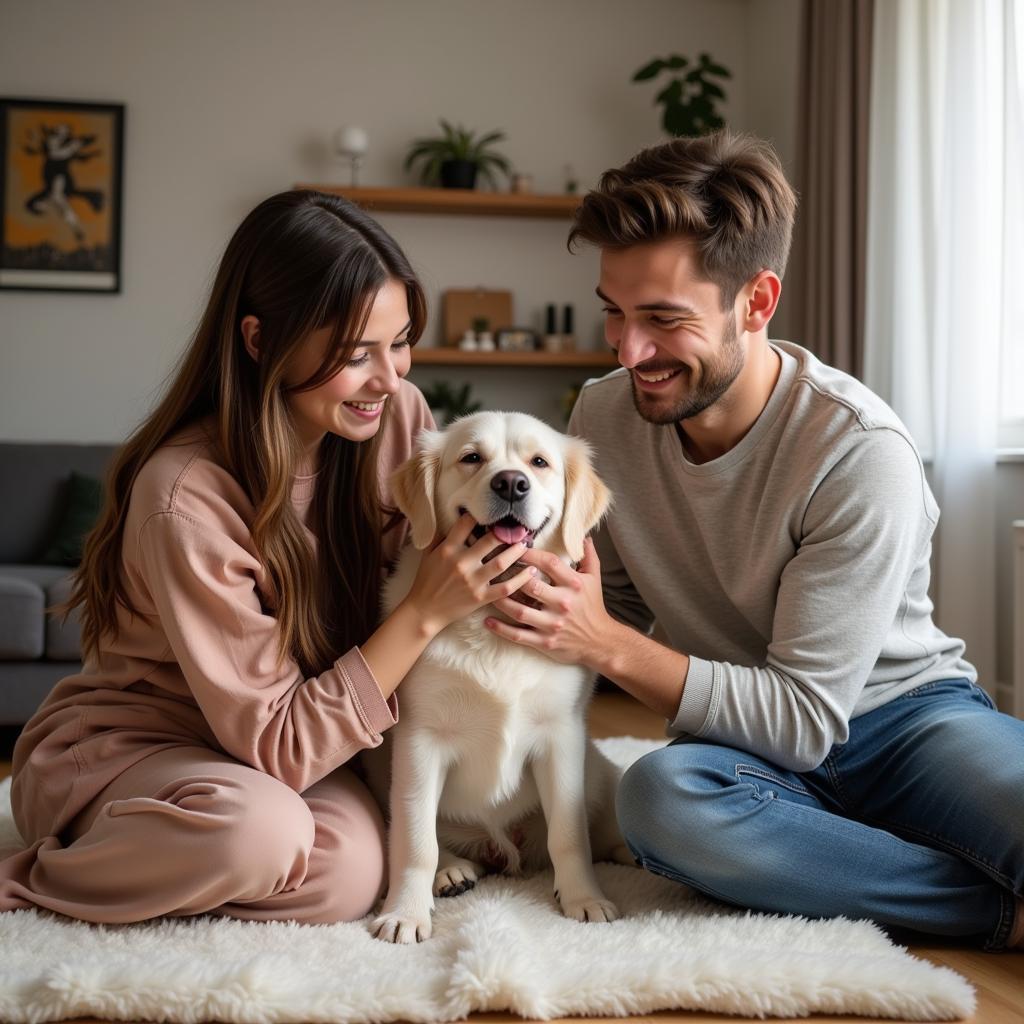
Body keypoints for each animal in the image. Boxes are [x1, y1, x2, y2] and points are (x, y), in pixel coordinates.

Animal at [364, 407, 626, 942]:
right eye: (471, 458)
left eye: (539, 462)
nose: (511, 483)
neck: (493, 612)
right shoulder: (421, 740)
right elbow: (415, 841)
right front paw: (405, 913)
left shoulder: (561, 736)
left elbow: (570, 835)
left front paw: (584, 899)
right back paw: (451, 872)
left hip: (600, 774)